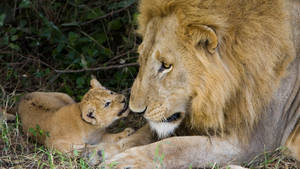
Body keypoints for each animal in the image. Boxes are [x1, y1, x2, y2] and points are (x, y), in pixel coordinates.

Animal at [99, 0, 298, 168]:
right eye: (142, 57)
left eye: (166, 65)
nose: (136, 110)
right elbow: (147, 131)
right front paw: (103, 150)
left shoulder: (254, 142)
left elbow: (178, 146)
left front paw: (126, 161)